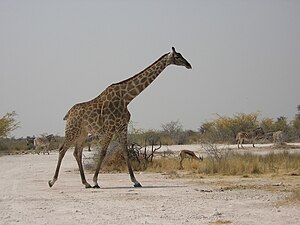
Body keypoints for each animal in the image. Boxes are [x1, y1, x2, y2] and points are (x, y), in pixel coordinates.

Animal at [48, 47, 191, 188]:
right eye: (177, 56)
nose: (189, 65)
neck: (126, 98)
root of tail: (68, 114)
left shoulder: (122, 126)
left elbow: (126, 151)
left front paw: (135, 181)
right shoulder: (111, 127)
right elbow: (103, 152)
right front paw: (95, 181)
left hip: (83, 133)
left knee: (76, 152)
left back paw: (85, 183)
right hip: (72, 130)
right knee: (62, 150)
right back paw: (52, 181)